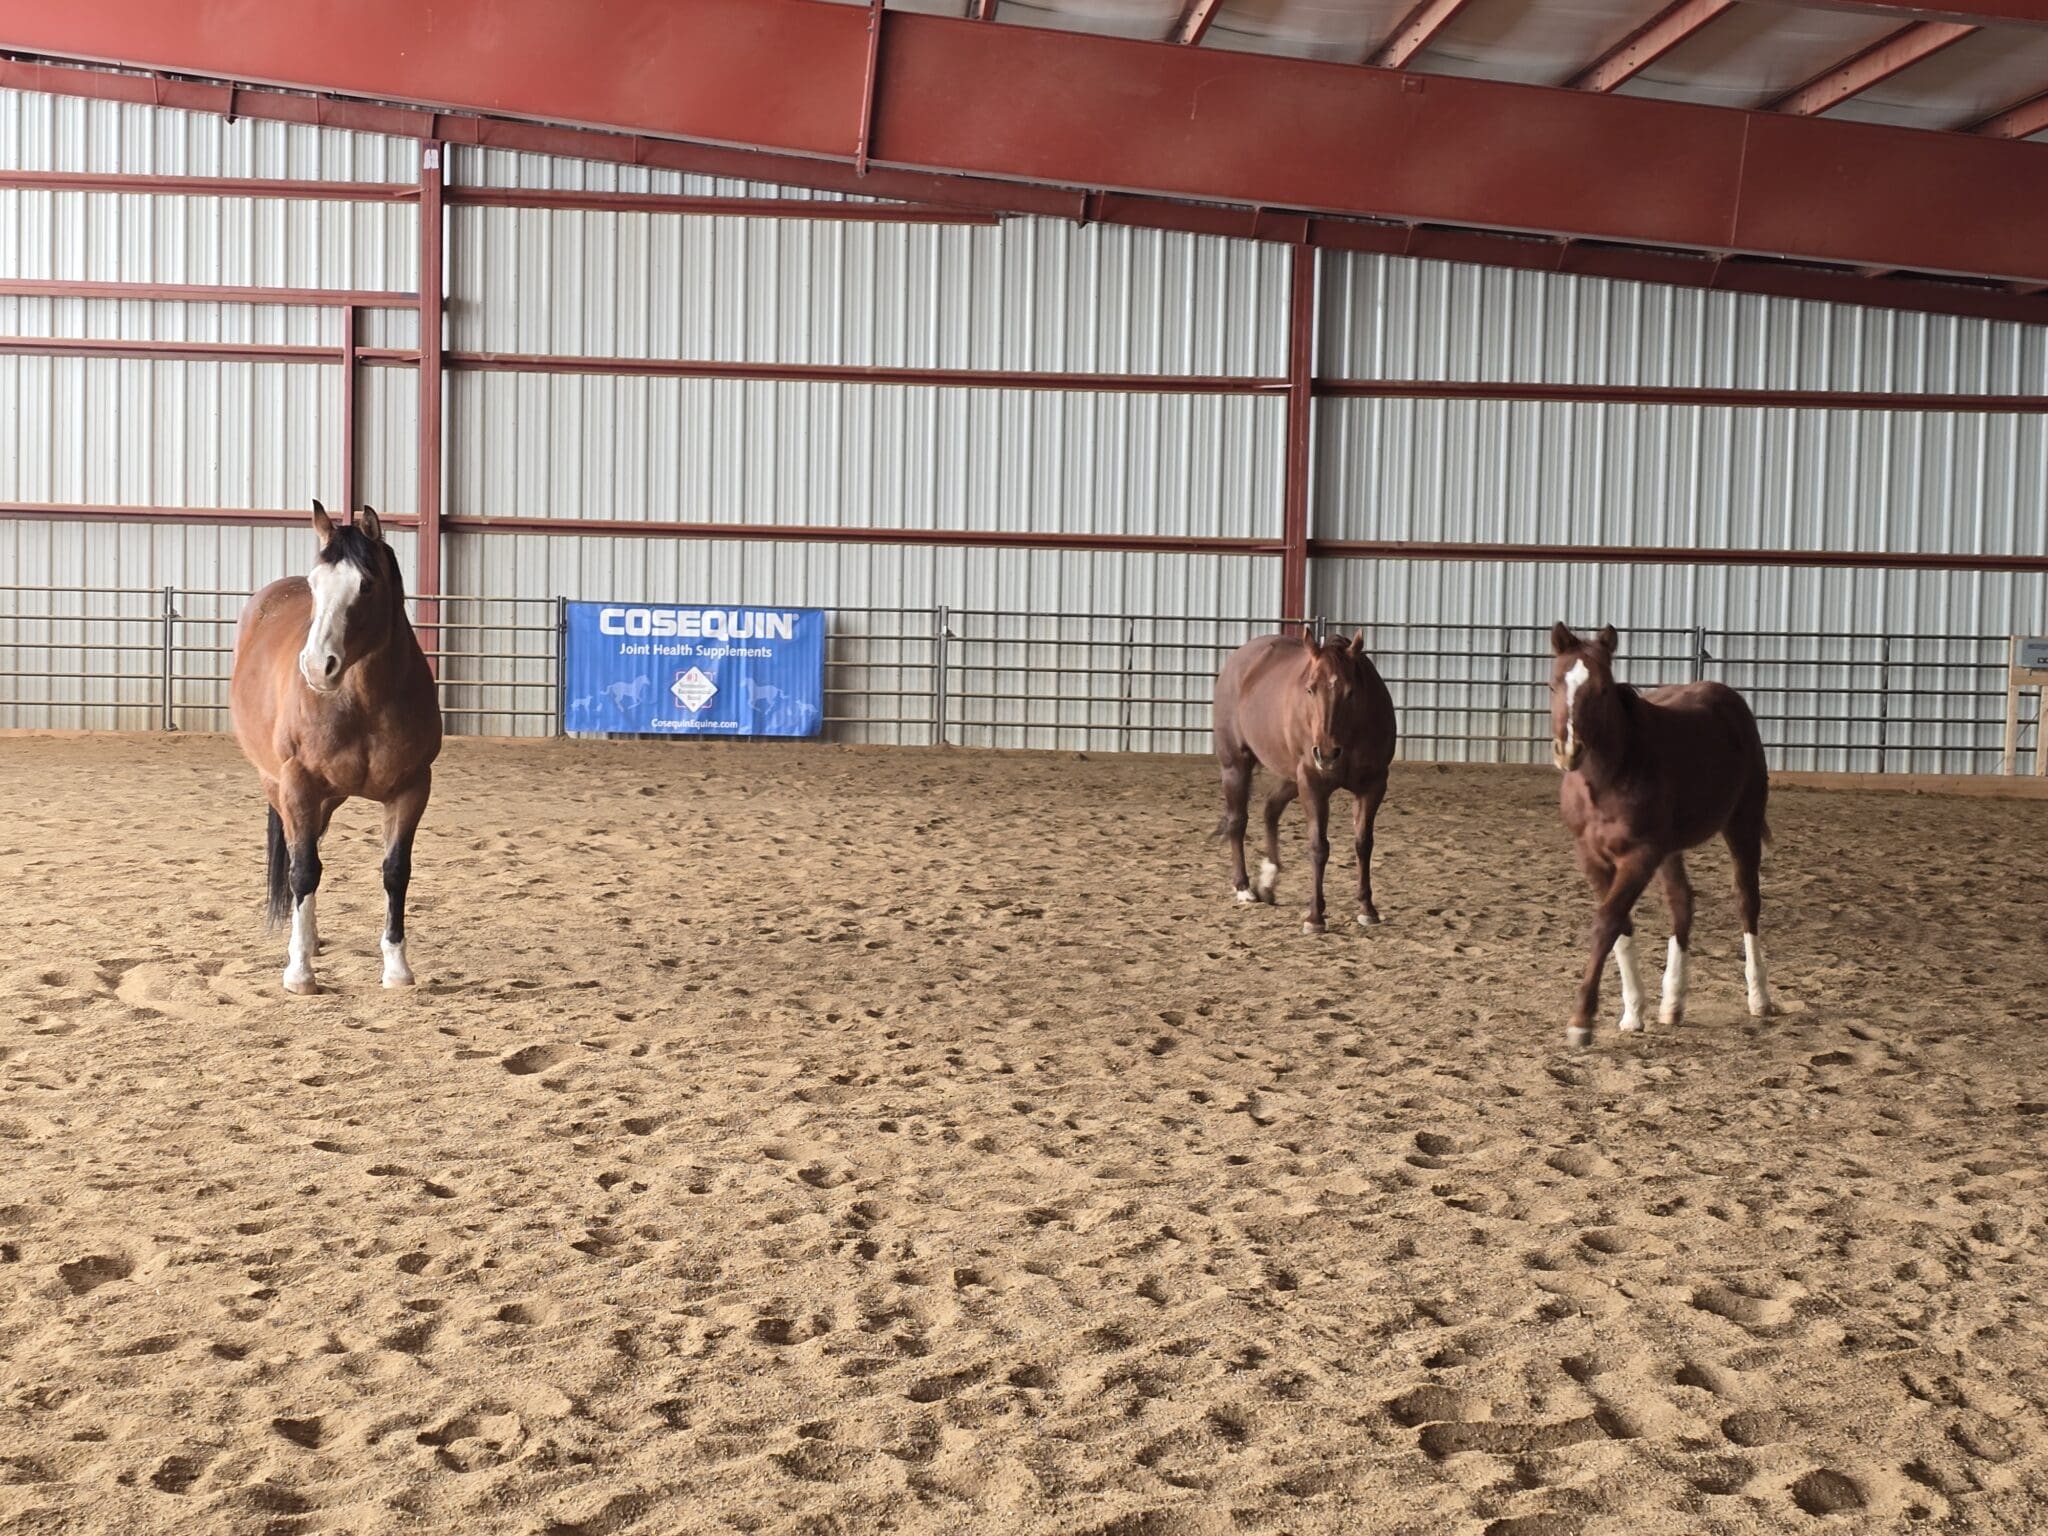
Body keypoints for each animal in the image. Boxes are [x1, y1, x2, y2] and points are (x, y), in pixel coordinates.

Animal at [229, 502, 442, 994]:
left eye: (366, 584)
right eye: (314, 585)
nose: (316, 667)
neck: (361, 701)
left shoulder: (412, 790)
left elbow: (395, 871)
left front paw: (396, 967)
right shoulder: (298, 787)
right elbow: (303, 870)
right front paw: (299, 972)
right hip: (279, 788)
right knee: (297, 857)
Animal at [1213, 628, 1398, 934]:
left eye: (1351, 692)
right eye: (1310, 689)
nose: (1326, 753)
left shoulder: (1374, 785)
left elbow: (1363, 844)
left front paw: (1367, 909)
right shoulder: (1313, 784)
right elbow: (1318, 847)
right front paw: (1315, 916)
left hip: (1291, 776)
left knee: (1271, 809)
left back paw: (1268, 879)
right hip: (1236, 765)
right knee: (1238, 821)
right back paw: (1243, 888)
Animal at [1549, 623, 1775, 1047]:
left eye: (1602, 689)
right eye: (1553, 683)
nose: (1569, 750)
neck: (1607, 778)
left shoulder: (1640, 856)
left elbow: (1607, 922)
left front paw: (1582, 1021)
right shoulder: (1591, 856)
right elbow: (1621, 925)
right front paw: (1633, 1012)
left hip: (1743, 824)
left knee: (1747, 903)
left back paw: (1760, 998)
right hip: (1672, 850)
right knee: (1682, 904)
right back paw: (1672, 1002)